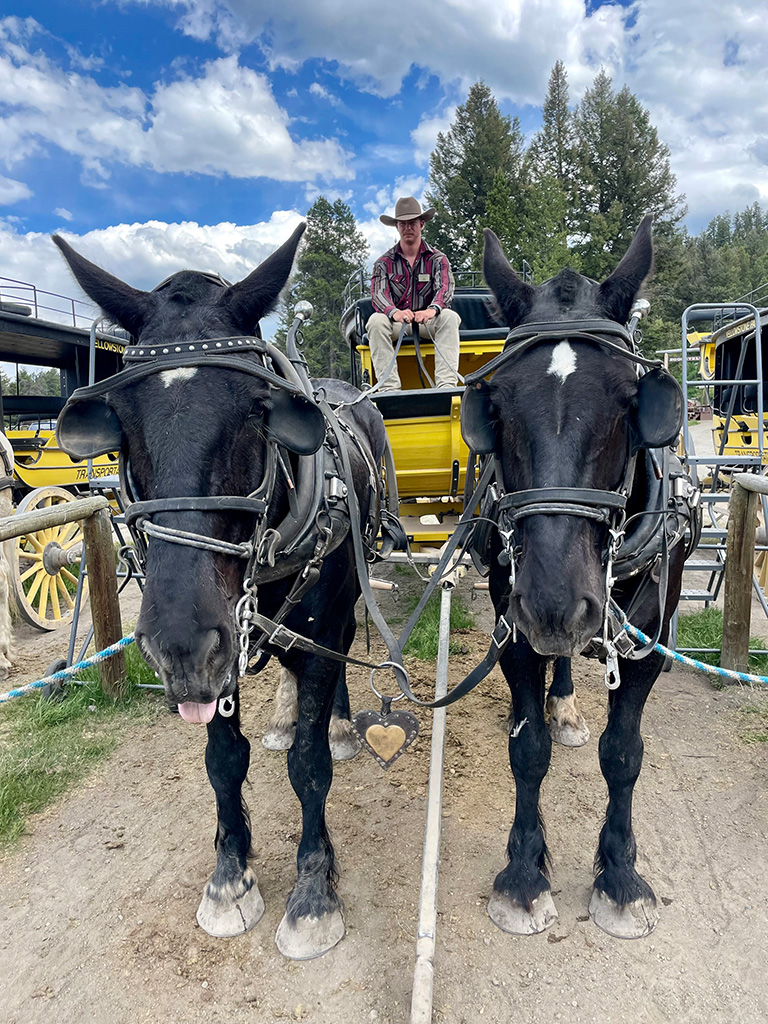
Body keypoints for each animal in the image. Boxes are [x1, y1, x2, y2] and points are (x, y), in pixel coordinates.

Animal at [53, 226, 387, 958]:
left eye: (259, 414)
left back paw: (336, 718)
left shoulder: (301, 631)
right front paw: (230, 875)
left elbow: (311, 764)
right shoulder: (219, 645)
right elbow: (223, 760)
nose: (176, 643)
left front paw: (313, 889)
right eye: (121, 423)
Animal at [462, 220, 696, 937]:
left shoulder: (648, 645)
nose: (556, 606)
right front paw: (522, 872)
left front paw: (619, 875)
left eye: (631, 402)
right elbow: (526, 750)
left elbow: (623, 755)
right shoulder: (514, 632)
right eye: (494, 406)